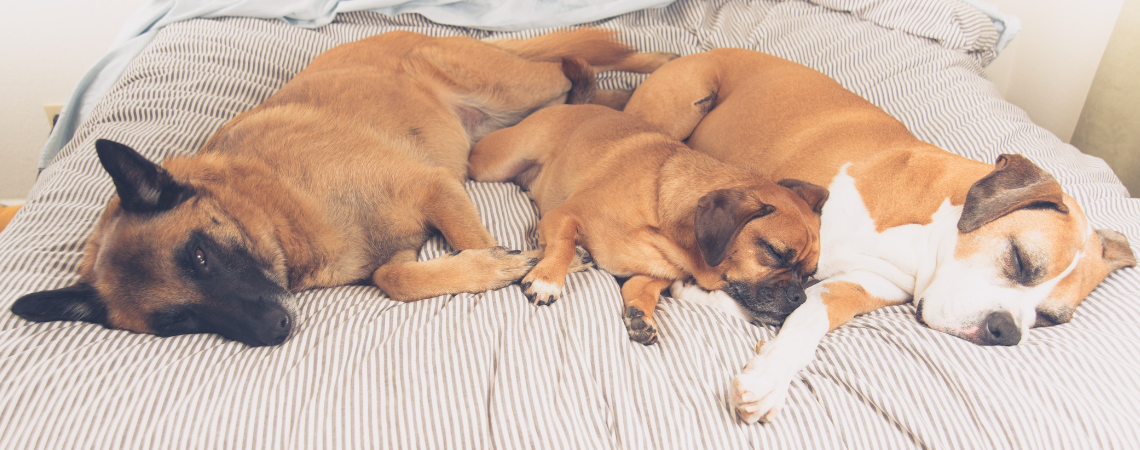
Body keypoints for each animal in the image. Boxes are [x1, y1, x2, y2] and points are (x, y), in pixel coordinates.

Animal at [11, 29, 674, 346]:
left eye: (199, 256)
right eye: (177, 321)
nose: (275, 333)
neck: (276, 206)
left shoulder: (436, 186)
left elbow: (466, 240)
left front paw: (518, 266)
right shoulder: (399, 248)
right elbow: (396, 279)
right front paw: (495, 265)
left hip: (518, 87)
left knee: (585, 56)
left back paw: (667, 62)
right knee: (593, 87)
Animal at [467, 104, 825, 346]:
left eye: (809, 276)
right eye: (775, 253)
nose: (799, 297)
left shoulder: (658, 273)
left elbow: (645, 286)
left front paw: (641, 313)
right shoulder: (563, 215)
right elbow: (565, 243)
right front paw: (548, 279)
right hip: (493, 165)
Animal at [629, 48, 1135, 423]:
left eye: (1049, 319)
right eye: (1019, 259)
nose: (1006, 332)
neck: (925, 233)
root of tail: (698, 51)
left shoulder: (850, 288)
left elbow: (801, 316)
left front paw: (769, 373)